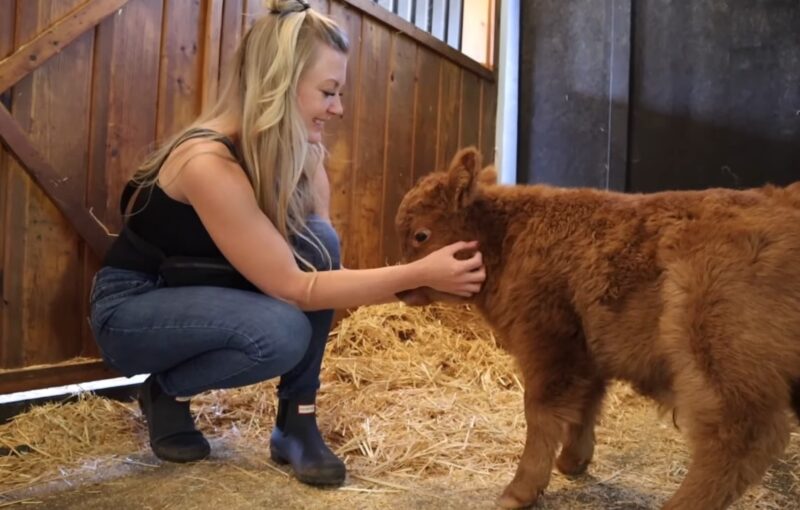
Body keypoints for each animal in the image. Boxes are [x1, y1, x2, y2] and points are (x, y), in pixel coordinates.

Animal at [396, 147, 800, 510]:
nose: (400, 285)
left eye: (421, 235)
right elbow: (586, 405)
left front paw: (520, 490)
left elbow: (541, 414)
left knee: (740, 435)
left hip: (719, 356)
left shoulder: (548, 343)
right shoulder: (586, 352)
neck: (510, 235)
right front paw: (572, 461)